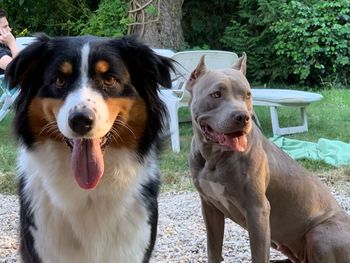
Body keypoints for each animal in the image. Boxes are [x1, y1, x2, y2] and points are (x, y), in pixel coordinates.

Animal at [187, 54, 350, 263]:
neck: (214, 157)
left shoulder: (258, 211)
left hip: (320, 232)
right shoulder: (210, 207)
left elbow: (258, 254)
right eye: (216, 94)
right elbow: (213, 249)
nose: (243, 117)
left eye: (248, 95)